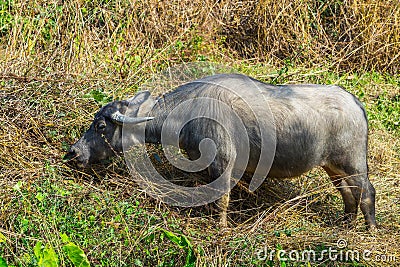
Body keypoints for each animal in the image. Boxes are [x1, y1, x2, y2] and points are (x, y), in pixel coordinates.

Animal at [64, 74, 376, 230]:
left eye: (101, 125)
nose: (73, 153)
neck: (190, 110)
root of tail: (355, 102)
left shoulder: (223, 163)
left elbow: (221, 199)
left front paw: (222, 227)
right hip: (333, 166)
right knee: (349, 194)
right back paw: (345, 224)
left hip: (354, 162)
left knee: (366, 192)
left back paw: (370, 228)